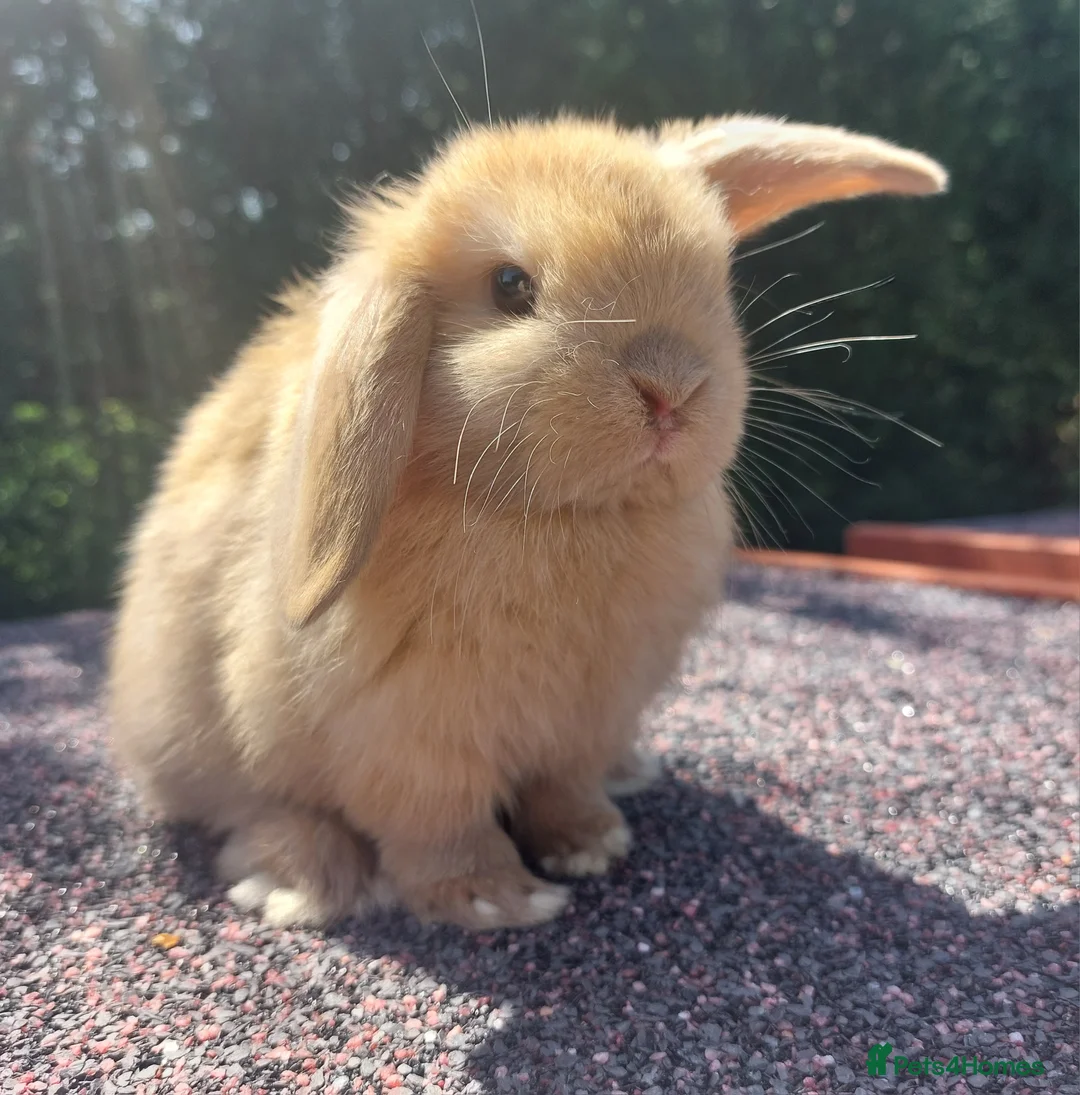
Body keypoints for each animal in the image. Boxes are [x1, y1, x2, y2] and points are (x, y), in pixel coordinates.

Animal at [107, 113, 946, 930]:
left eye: (716, 280)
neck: (566, 516)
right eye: (510, 286)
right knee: (248, 811)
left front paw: (592, 845)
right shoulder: (406, 739)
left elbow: (562, 789)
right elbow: (437, 827)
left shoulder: (591, 718)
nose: (671, 387)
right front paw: (500, 900)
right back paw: (307, 882)